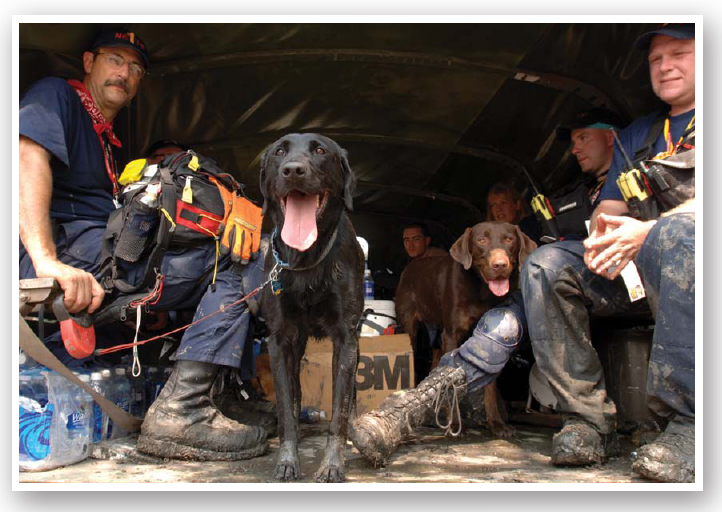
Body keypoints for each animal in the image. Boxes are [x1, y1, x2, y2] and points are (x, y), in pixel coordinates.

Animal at [258, 133, 362, 484]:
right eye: (279, 151)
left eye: (319, 150)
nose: (293, 170)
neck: (307, 262)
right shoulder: (279, 339)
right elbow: (286, 406)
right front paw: (287, 459)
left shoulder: (346, 338)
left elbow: (339, 408)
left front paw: (332, 464)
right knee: (295, 393)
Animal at [394, 220, 536, 436]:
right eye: (481, 240)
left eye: (509, 239)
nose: (500, 265)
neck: (482, 290)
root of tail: (412, 265)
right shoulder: (452, 334)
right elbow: (450, 381)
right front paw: (454, 424)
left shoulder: (488, 338)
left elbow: (490, 386)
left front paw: (496, 423)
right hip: (411, 328)